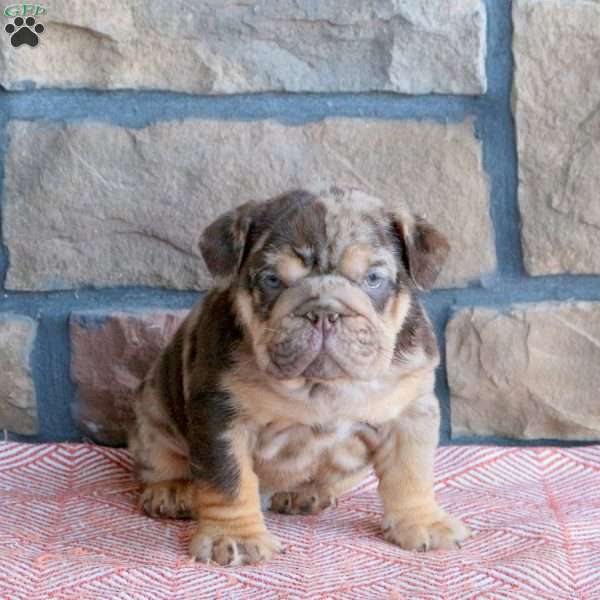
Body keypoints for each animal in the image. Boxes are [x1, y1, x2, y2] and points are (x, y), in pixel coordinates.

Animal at [129, 189, 472, 568]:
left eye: (372, 278)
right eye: (272, 280)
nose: (323, 312)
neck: (322, 385)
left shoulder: (409, 413)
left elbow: (411, 473)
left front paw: (424, 522)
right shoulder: (221, 416)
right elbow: (229, 480)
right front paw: (235, 536)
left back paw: (304, 493)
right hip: (152, 409)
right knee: (160, 455)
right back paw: (172, 490)